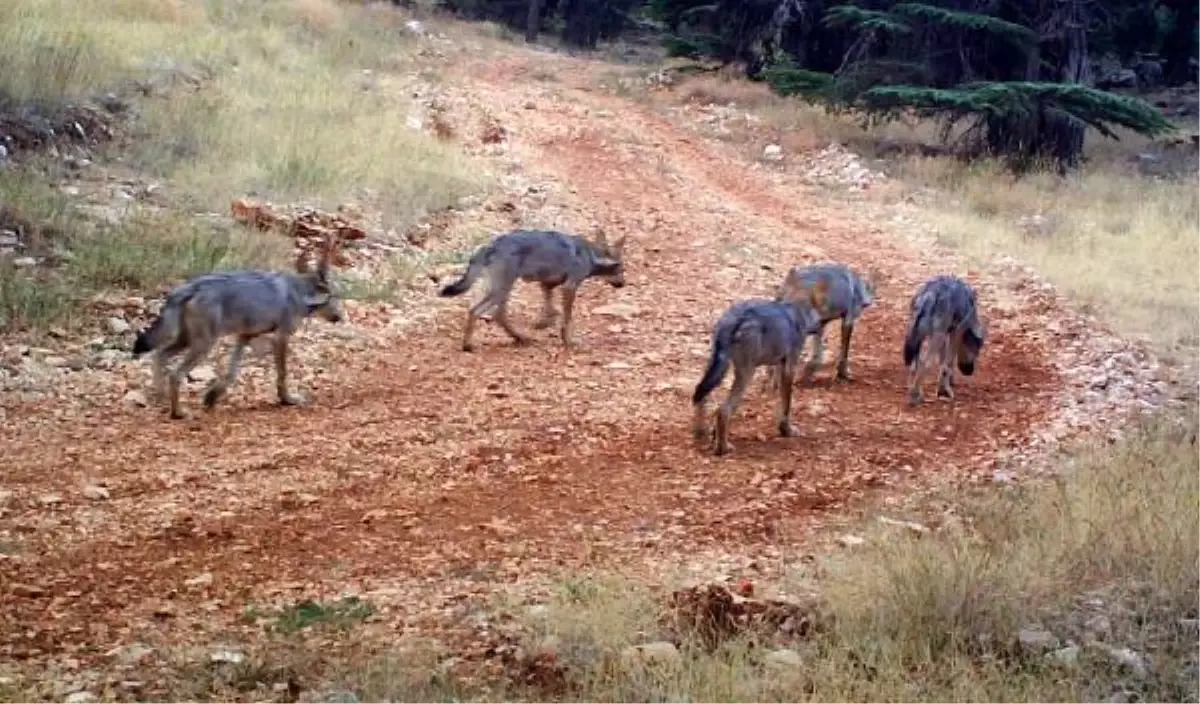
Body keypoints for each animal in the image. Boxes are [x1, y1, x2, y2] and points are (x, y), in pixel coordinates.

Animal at [132, 233, 348, 422]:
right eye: (334, 297)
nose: (339, 317)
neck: (299, 292)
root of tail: (189, 287)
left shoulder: (244, 336)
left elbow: (231, 373)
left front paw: (212, 396)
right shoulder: (281, 337)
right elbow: (282, 373)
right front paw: (288, 400)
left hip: (187, 341)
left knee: (159, 355)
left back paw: (160, 397)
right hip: (203, 345)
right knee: (175, 374)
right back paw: (178, 413)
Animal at [441, 229, 628, 352]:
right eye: (621, 269)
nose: (623, 284)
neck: (590, 254)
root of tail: (490, 246)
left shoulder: (547, 284)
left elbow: (550, 306)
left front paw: (545, 322)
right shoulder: (570, 286)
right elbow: (567, 318)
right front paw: (568, 340)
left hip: (501, 289)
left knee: (497, 315)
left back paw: (520, 337)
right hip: (501, 289)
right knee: (476, 311)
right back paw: (468, 345)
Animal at [691, 298, 820, 458]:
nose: (820, 328)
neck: (799, 312)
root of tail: (734, 319)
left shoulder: (779, 366)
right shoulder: (789, 368)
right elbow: (787, 405)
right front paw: (787, 430)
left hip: (718, 367)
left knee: (702, 393)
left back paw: (701, 432)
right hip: (747, 373)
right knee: (723, 410)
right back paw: (723, 448)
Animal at [902, 275, 984, 407]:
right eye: (977, 350)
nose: (969, 372)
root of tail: (928, 295)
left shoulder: (945, 334)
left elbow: (943, 360)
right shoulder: (955, 331)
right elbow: (948, 362)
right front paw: (945, 390)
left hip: (917, 336)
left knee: (914, 364)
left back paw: (913, 390)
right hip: (935, 336)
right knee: (925, 363)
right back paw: (915, 396)